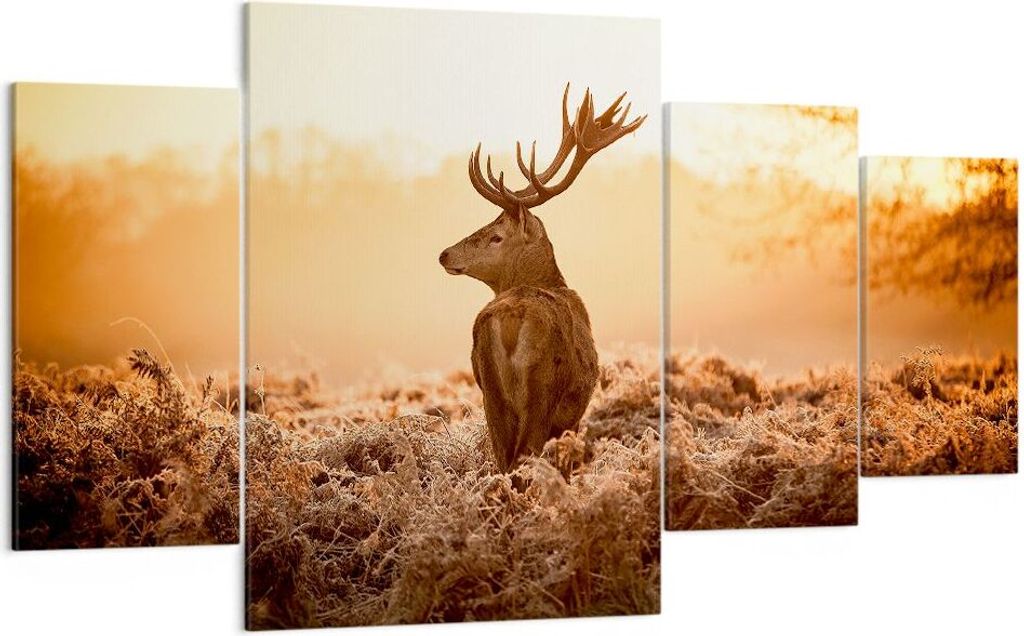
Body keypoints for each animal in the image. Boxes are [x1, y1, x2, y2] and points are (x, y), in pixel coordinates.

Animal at [439, 84, 646, 472]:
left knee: (505, 459)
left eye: (495, 236)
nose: (444, 254)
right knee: (525, 458)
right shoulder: (571, 416)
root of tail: (508, 321)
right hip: (541, 392)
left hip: (491, 394)